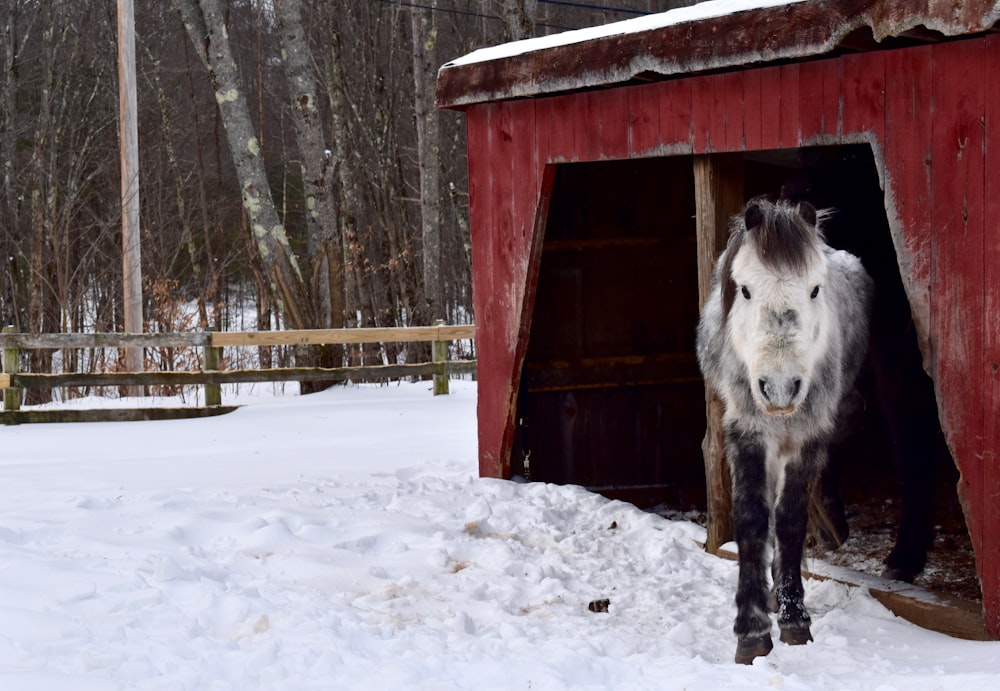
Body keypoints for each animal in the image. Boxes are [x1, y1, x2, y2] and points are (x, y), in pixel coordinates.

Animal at [700, 197, 872, 664]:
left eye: (814, 289)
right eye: (744, 289)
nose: (779, 388)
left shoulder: (808, 436)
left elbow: (790, 520)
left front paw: (794, 618)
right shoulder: (746, 432)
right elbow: (752, 522)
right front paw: (752, 631)